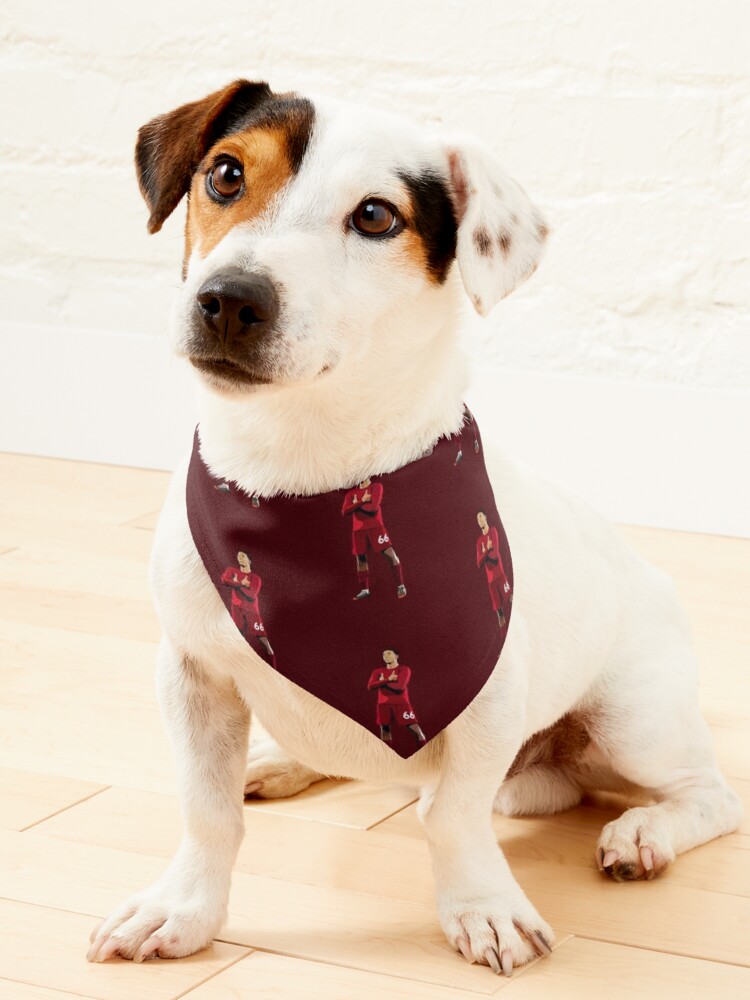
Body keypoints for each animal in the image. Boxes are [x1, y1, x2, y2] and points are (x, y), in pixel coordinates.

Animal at [85, 82, 744, 972]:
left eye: (375, 216)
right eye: (225, 174)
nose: (230, 298)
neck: (301, 476)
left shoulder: (487, 697)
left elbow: (453, 817)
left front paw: (483, 908)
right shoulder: (192, 677)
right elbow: (207, 810)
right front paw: (183, 909)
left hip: (635, 719)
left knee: (708, 796)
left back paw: (644, 833)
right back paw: (281, 761)